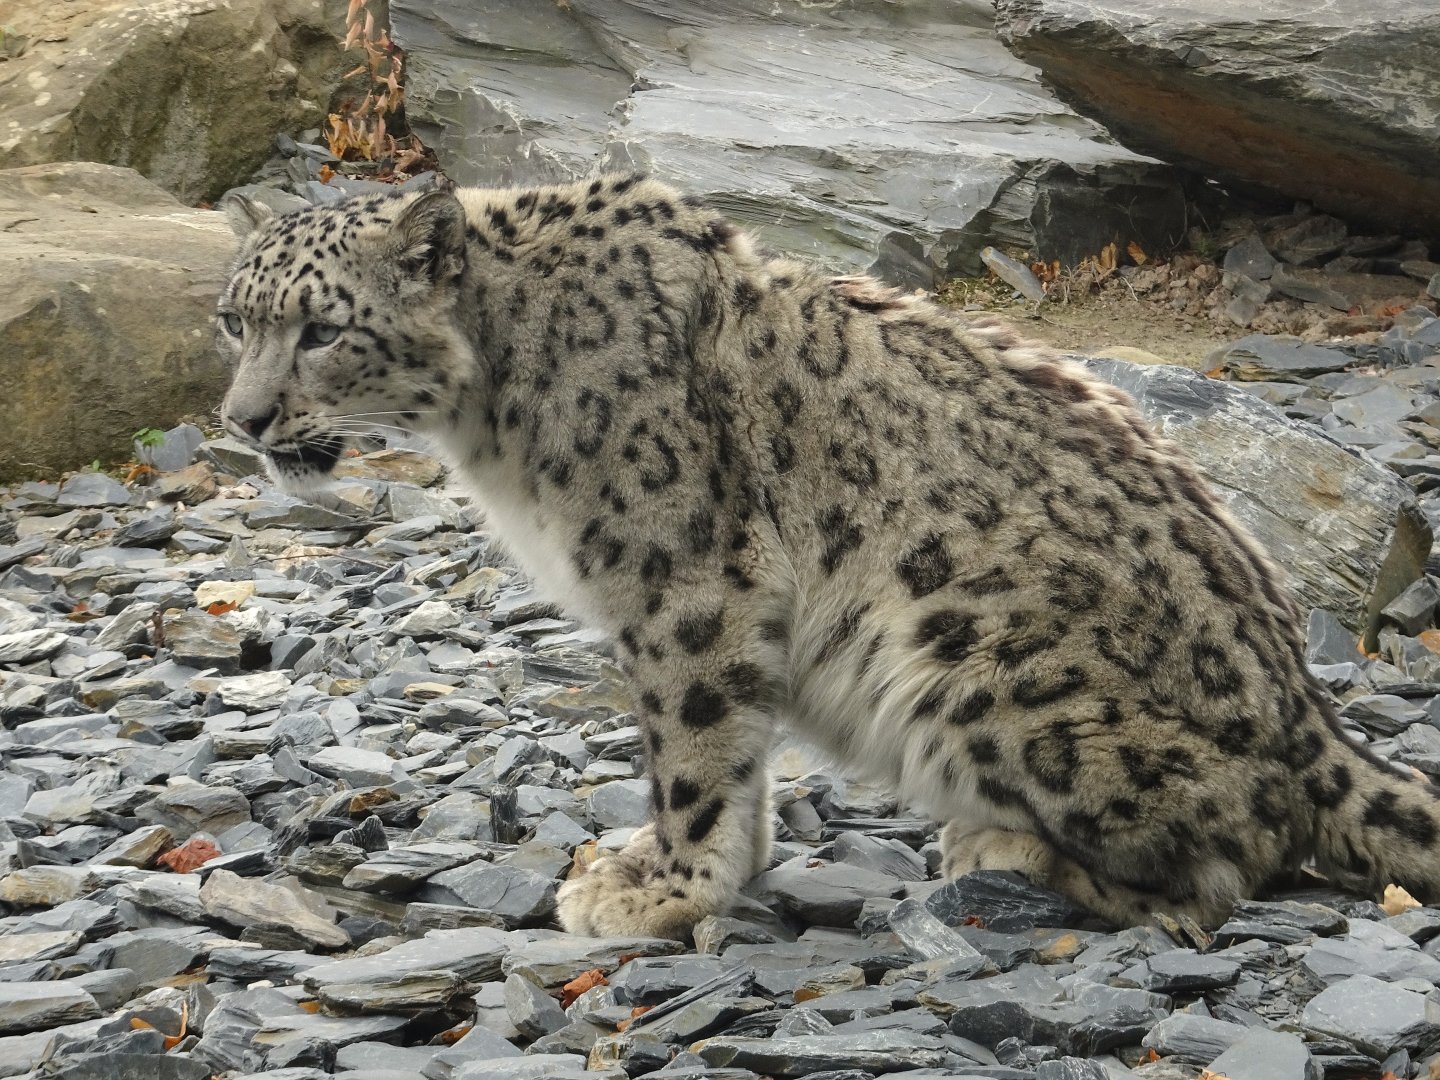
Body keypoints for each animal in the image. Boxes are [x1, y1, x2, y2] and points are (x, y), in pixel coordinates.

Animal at [214, 173, 1440, 941]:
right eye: (235, 319)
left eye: (322, 329)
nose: (243, 420)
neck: (495, 420)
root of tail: (1311, 719)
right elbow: (738, 754)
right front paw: (702, 867)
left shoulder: (682, 579)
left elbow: (693, 744)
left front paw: (664, 889)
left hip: (976, 660)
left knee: (1229, 862)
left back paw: (1003, 850)